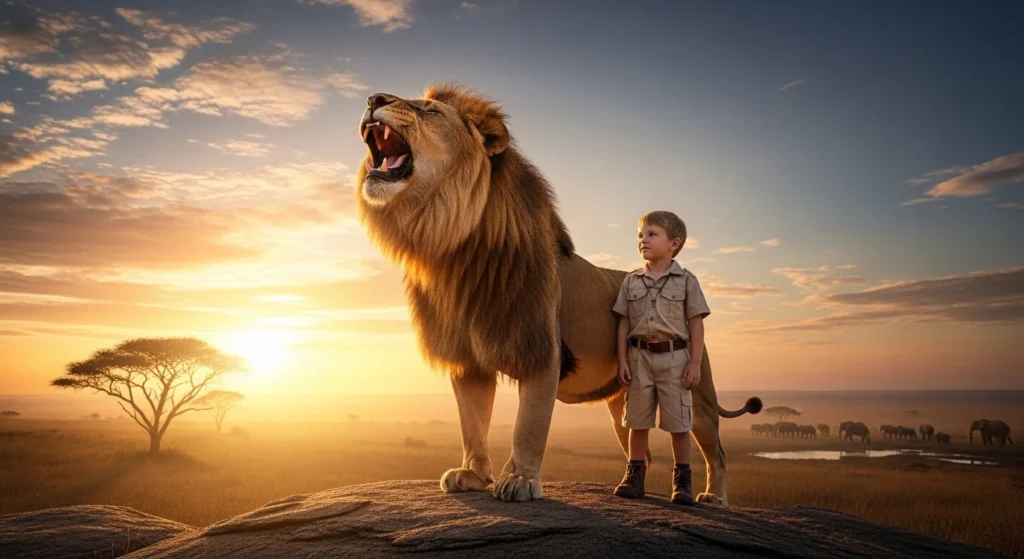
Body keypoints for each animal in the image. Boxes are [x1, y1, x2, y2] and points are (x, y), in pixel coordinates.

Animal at [354, 83, 761, 504]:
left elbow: (528, 424)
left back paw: (714, 498)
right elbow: (472, 423)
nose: (373, 99)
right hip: (622, 402)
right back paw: (631, 489)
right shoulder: (468, 359)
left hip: (698, 392)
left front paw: (520, 480)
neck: (452, 247)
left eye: (429, 110)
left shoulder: (541, 348)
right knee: (641, 444)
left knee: (717, 451)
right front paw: (473, 474)